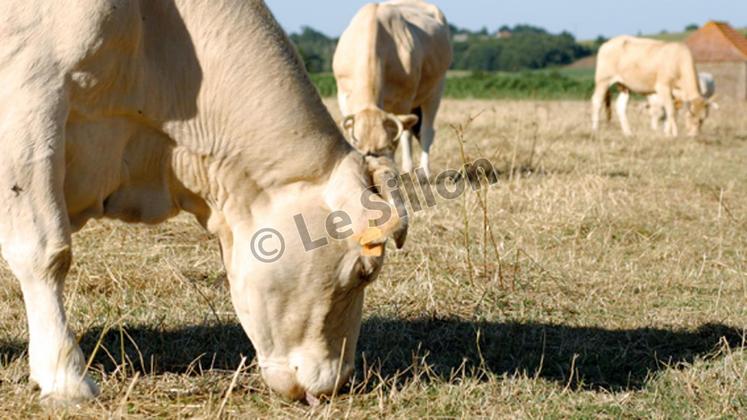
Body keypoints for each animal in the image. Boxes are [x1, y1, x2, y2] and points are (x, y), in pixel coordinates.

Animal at [334, 0, 452, 177]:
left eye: (386, 146)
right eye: (357, 146)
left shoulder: (404, 99)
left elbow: (403, 134)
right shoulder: (343, 96)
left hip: (435, 89)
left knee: (425, 131)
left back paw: (423, 171)